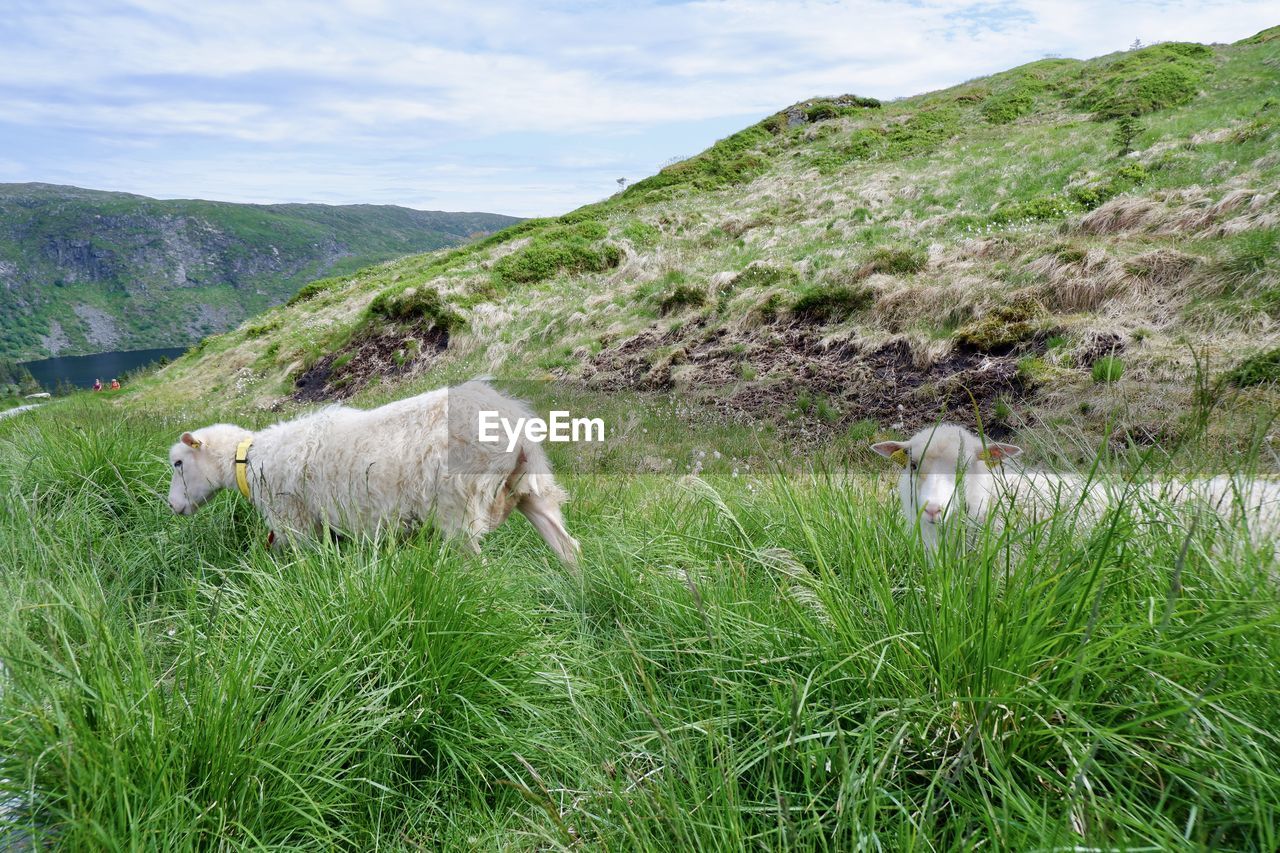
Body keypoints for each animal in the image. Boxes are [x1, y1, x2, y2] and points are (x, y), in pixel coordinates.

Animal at [166, 381, 581, 560]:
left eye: (178, 463)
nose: (172, 507)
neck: (249, 460)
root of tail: (512, 420)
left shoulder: (294, 521)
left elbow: (301, 563)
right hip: (531, 488)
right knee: (567, 546)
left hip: (457, 503)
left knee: (476, 561)